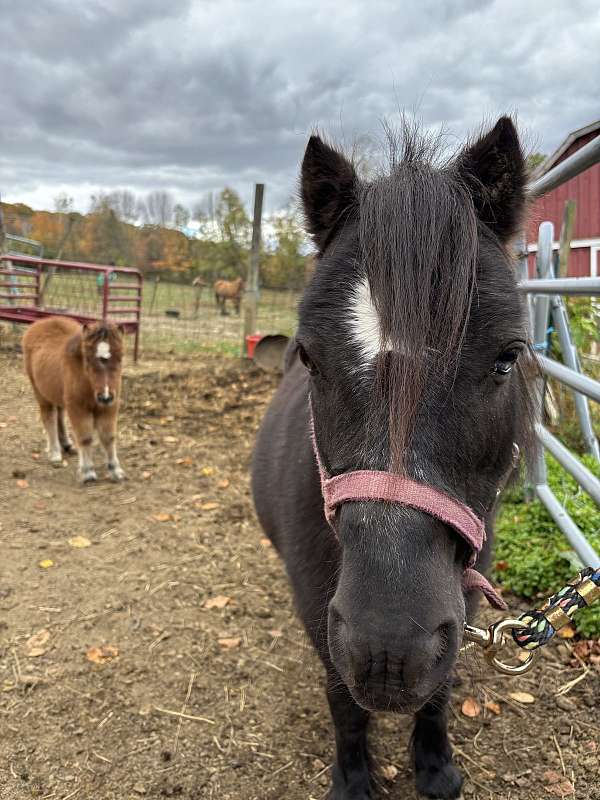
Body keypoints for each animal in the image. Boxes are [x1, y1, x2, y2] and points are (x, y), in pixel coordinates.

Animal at [23, 317, 126, 484]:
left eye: (121, 357)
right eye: (87, 359)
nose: (105, 396)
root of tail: (42, 321)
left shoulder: (109, 407)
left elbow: (108, 437)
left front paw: (116, 471)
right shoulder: (78, 408)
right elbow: (85, 438)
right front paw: (87, 472)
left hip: (57, 392)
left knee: (59, 414)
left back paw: (66, 444)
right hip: (39, 391)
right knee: (49, 416)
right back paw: (55, 453)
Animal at [252, 117, 535, 799]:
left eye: (507, 357)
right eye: (310, 358)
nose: (388, 649)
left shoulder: (458, 598)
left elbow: (439, 690)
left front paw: (435, 768)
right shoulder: (321, 613)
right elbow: (343, 701)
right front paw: (354, 780)